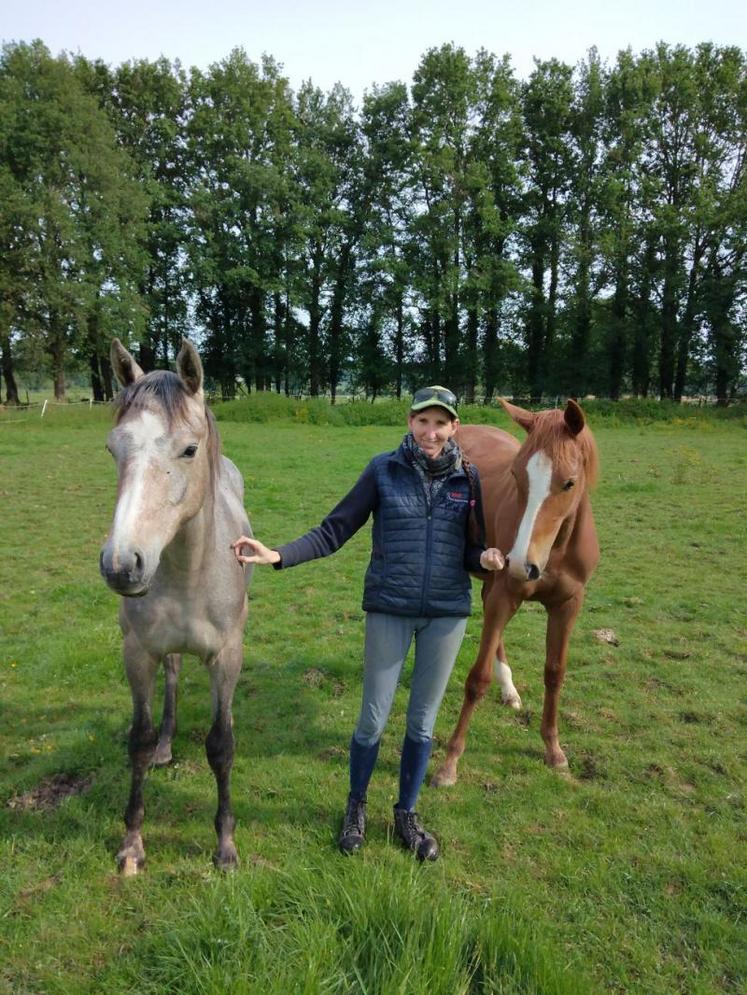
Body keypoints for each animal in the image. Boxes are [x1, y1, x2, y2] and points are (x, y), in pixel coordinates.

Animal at [99, 338, 253, 876]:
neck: (189, 571)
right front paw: (132, 843)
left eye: (189, 449)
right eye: (113, 448)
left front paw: (225, 846)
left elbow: (222, 746)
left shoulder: (225, 657)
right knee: (171, 676)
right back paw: (168, 743)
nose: (122, 565)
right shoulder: (136, 653)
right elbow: (139, 741)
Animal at [432, 398, 596, 784]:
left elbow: (555, 672)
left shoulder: (568, 604)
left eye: (569, 482)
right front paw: (449, 764)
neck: (555, 551)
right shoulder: (505, 594)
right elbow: (477, 679)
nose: (522, 564)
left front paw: (554, 750)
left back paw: (509, 691)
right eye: (517, 476)